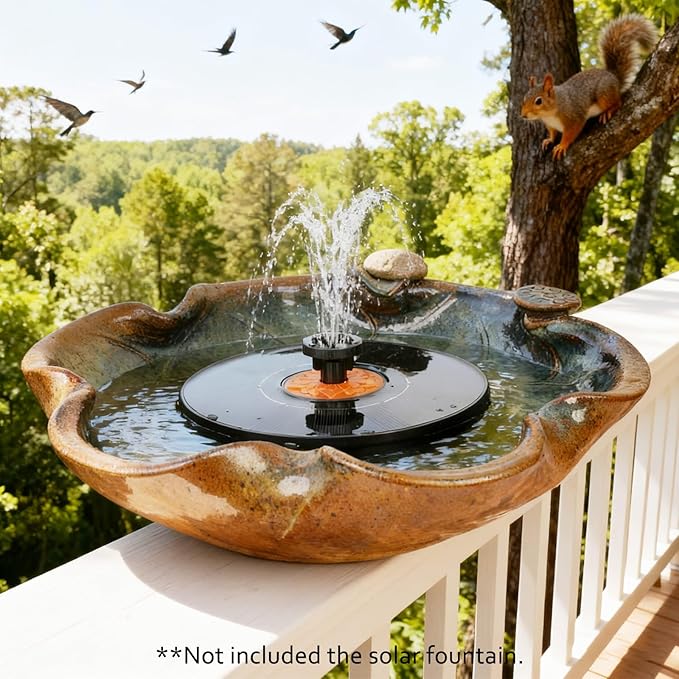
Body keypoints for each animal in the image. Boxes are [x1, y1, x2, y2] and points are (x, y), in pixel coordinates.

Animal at [521, 14, 658, 159]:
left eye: (538, 101)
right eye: (523, 99)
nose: (523, 115)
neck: (551, 111)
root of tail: (613, 77)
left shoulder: (574, 117)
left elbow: (570, 133)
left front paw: (562, 146)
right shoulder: (551, 125)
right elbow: (553, 134)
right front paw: (549, 140)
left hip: (604, 94)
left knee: (618, 102)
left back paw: (608, 111)